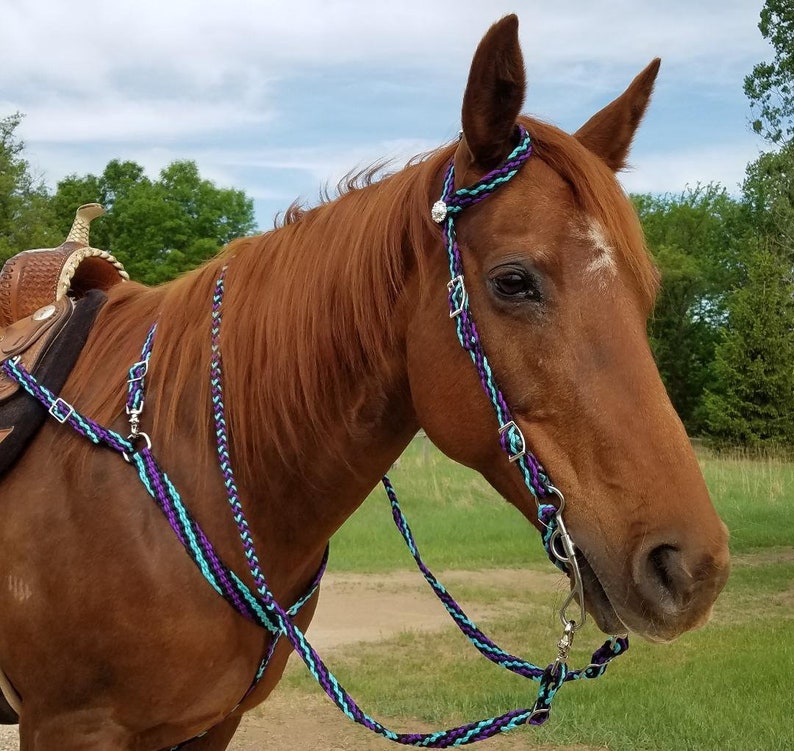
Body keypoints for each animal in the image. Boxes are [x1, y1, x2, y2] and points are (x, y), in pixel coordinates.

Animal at [0, 14, 730, 750]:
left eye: (646, 292)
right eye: (513, 281)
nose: (691, 568)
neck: (186, 462)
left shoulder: (213, 723)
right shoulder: (72, 726)